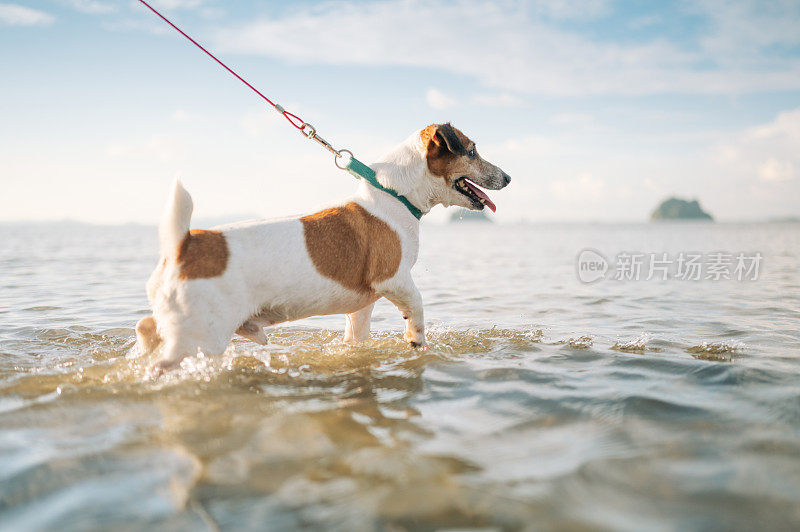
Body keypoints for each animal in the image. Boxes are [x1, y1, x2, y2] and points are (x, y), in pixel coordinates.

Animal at [136, 123, 512, 374]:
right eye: (472, 151)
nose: (508, 178)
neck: (395, 195)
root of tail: (184, 243)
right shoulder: (394, 280)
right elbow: (417, 306)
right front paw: (416, 340)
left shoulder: (363, 305)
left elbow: (356, 335)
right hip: (201, 336)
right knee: (163, 360)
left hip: (184, 322)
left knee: (146, 327)